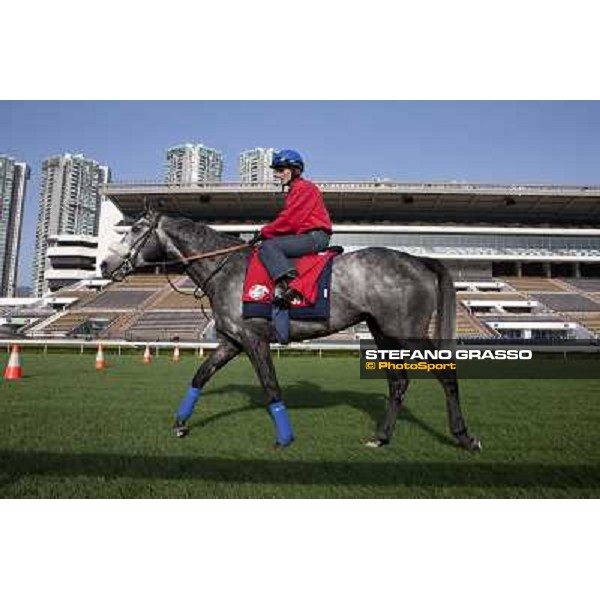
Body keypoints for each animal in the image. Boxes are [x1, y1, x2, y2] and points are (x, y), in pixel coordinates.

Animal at [101, 206, 480, 450]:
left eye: (136, 230)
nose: (105, 264)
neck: (227, 269)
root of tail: (417, 259)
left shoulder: (254, 340)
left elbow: (271, 388)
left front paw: (284, 438)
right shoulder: (232, 340)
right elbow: (199, 376)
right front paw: (180, 424)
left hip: (406, 332)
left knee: (445, 374)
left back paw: (463, 436)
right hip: (382, 333)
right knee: (398, 383)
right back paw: (382, 437)